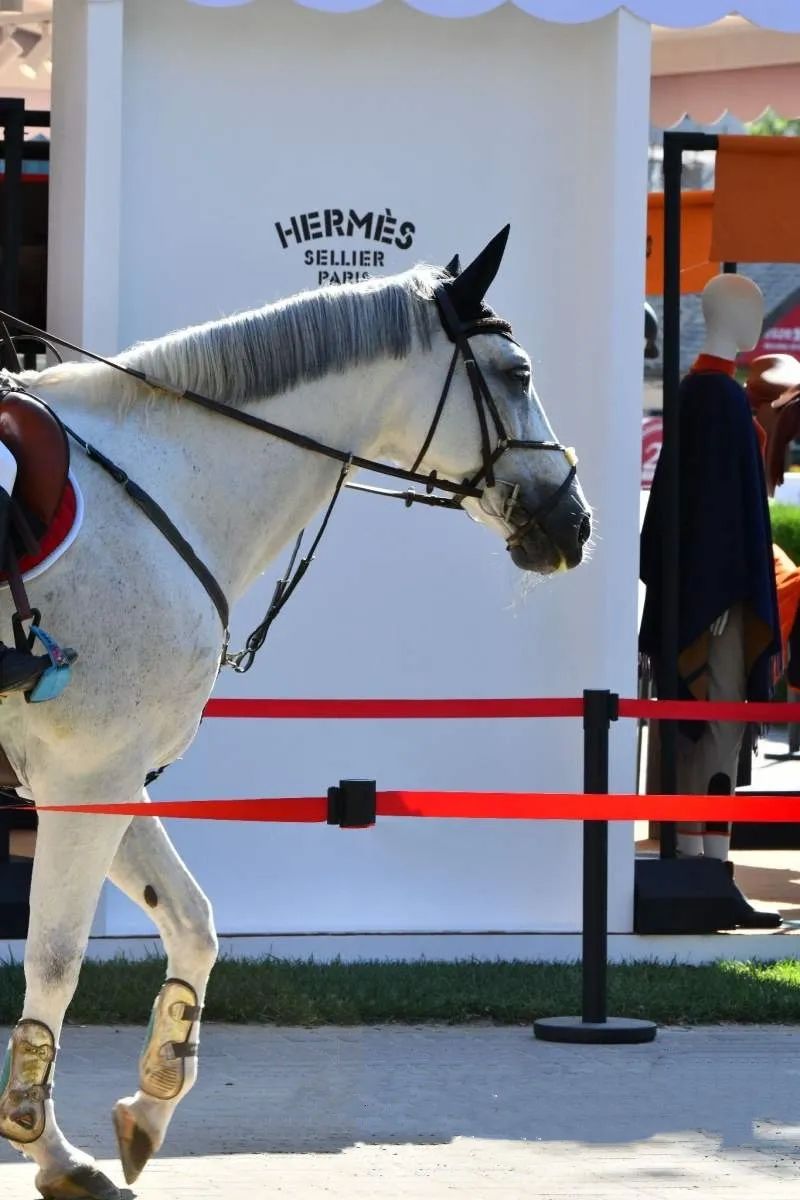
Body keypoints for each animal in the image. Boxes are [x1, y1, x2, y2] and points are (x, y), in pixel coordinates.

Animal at [0, 229, 587, 1195]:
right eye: (517, 371)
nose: (572, 522)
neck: (162, 484)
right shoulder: (85, 778)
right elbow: (56, 958)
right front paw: (45, 1141)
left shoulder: (106, 776)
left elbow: (194, 925)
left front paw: (148, 1104)